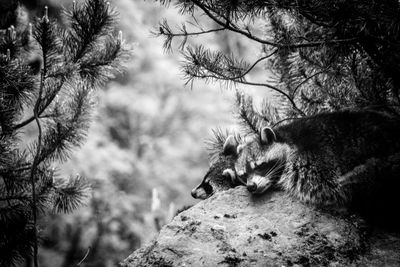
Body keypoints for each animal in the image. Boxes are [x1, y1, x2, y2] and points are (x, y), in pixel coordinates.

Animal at [223, 110, 400, 206]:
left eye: (259, 166)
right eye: (244, 175)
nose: (251, 186)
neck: (288, 139)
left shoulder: (313, 156)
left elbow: (326, 186)